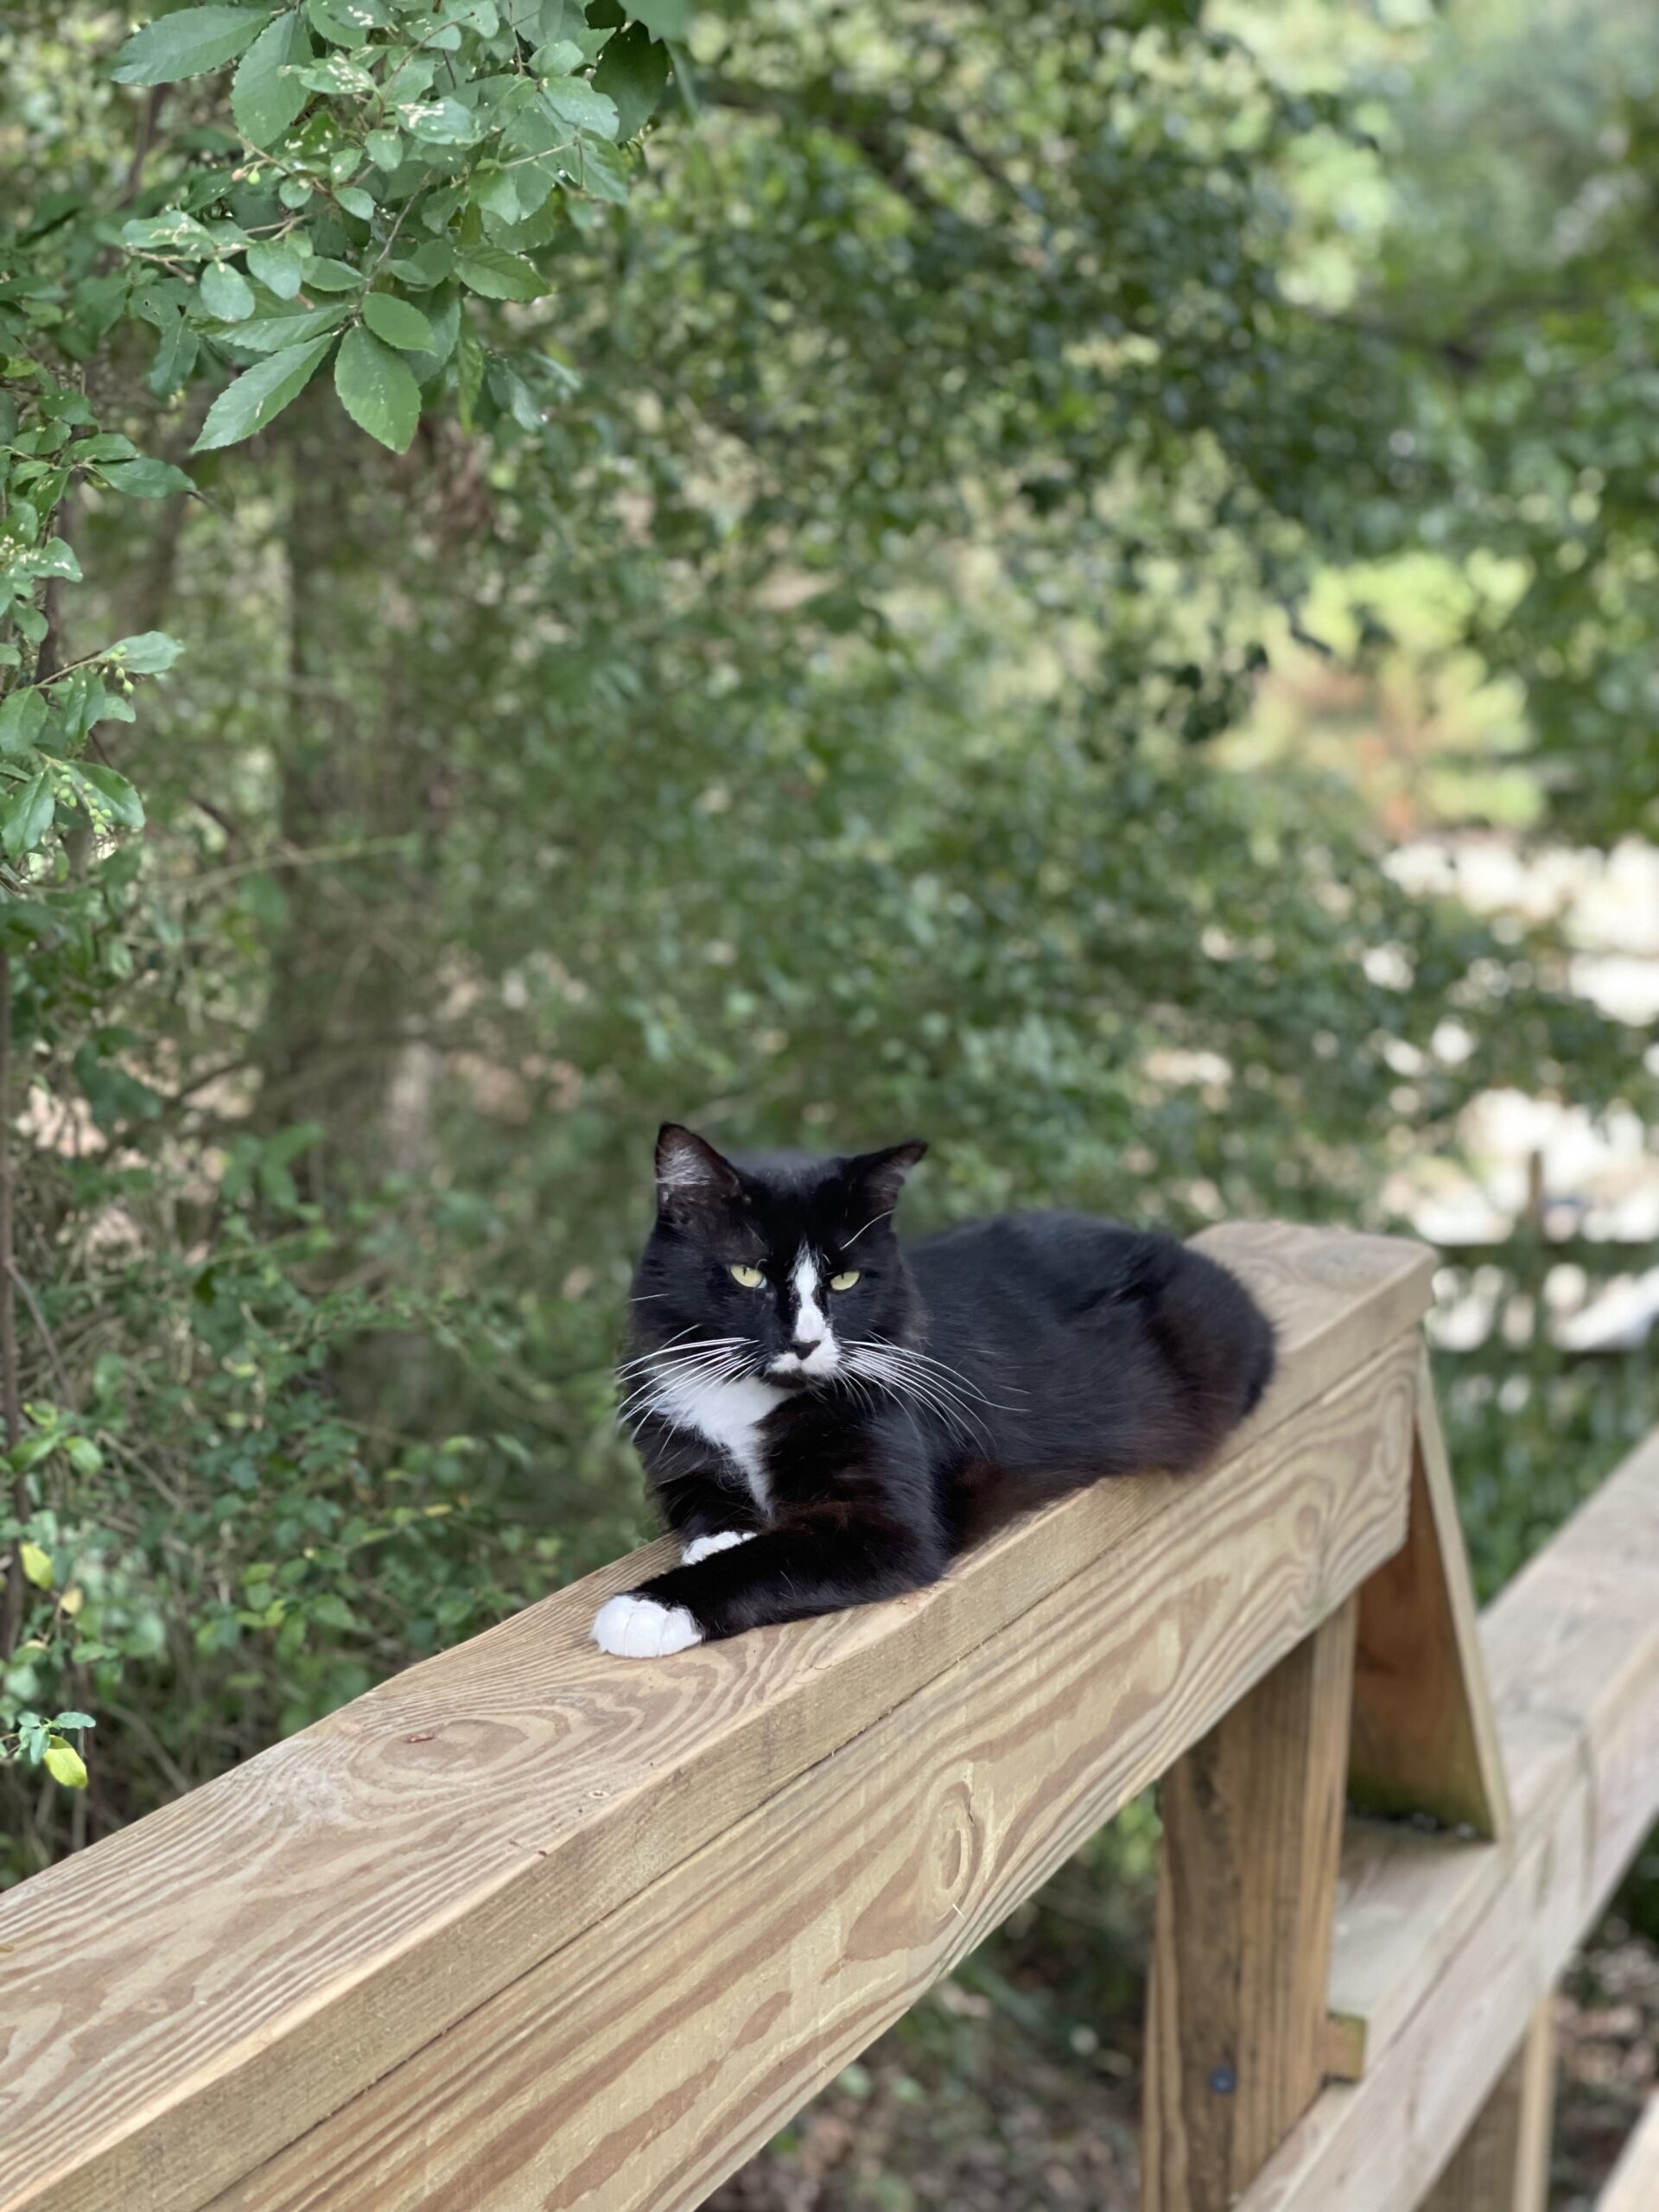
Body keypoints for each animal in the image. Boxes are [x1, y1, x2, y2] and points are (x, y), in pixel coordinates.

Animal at [593, 1123, 1282, 1663]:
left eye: (844, 1281)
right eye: (747, 1274)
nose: (808, 1342)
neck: (750, 1395)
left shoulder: (888, 1522)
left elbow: (776, 1556)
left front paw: (649, 1608)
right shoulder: (673, 1434)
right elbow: (701, 1500)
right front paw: (723, 1535)